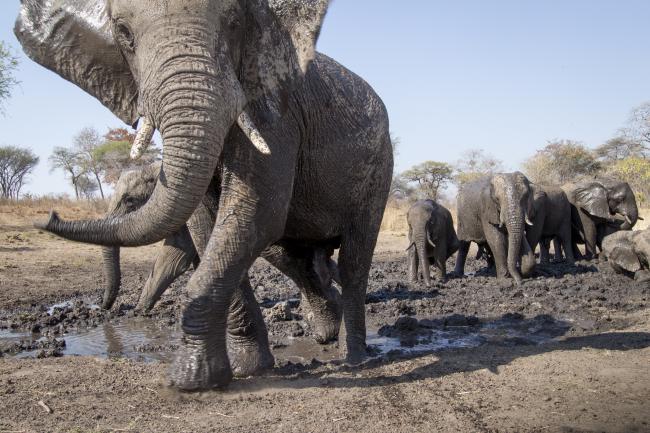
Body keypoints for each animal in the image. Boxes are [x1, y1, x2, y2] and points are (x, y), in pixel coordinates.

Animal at [16, 0, 390, 390]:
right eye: (123, 33)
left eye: (235, 22)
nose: (49, 215)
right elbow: (207, 228)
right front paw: (244, 369)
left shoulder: (275, 114)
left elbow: (253, 214)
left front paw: (190, 379)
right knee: (290, 256)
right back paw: (325, 330)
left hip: (378, 168)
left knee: (354, 257)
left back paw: (355, 355)